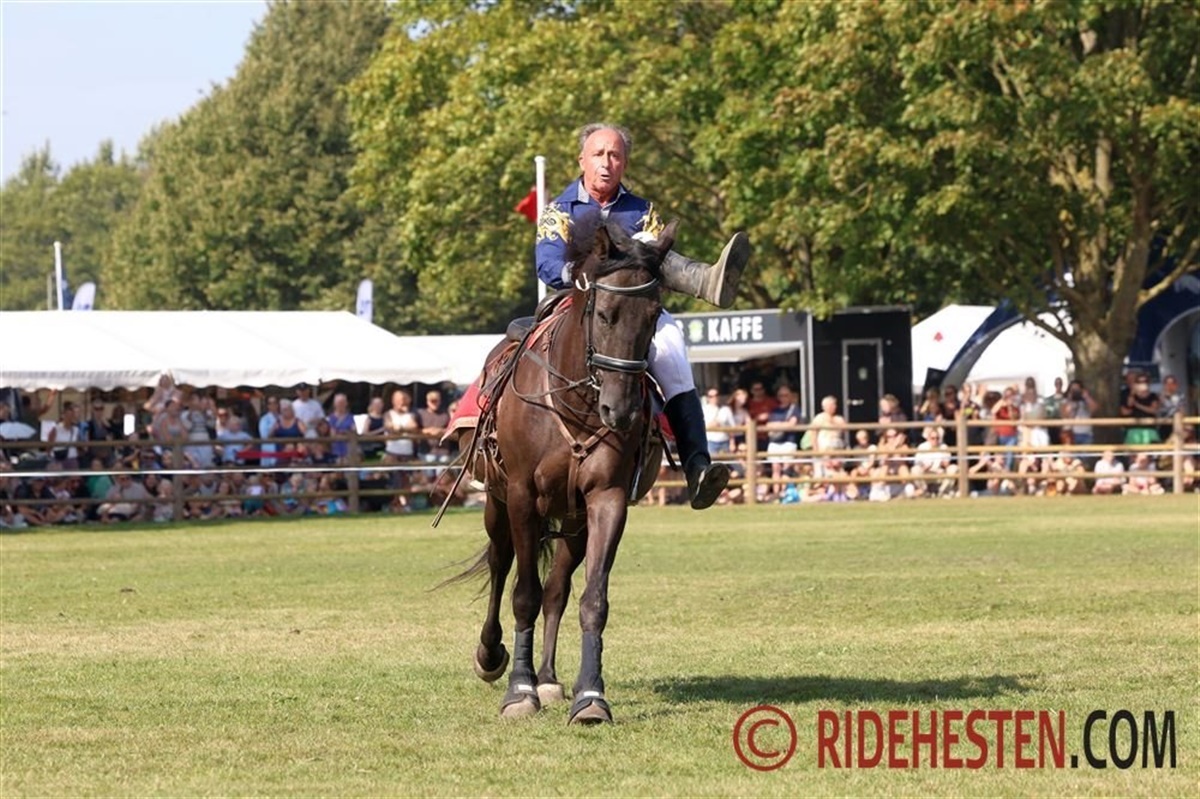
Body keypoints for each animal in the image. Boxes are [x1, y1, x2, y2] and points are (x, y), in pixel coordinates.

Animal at [448, 214, 677, 724]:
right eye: (605, 313)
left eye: (653, 317)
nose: (621, 411)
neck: (575, 405)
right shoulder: (521, 498)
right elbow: (523, 595)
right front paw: (519, 690)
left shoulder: (606, 500)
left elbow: (591, 600)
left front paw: (589, 696)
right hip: (498, 505)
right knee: (501, 565)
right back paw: (493, 655)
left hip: (572, 521)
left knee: (556, 589)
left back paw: (550, 679)